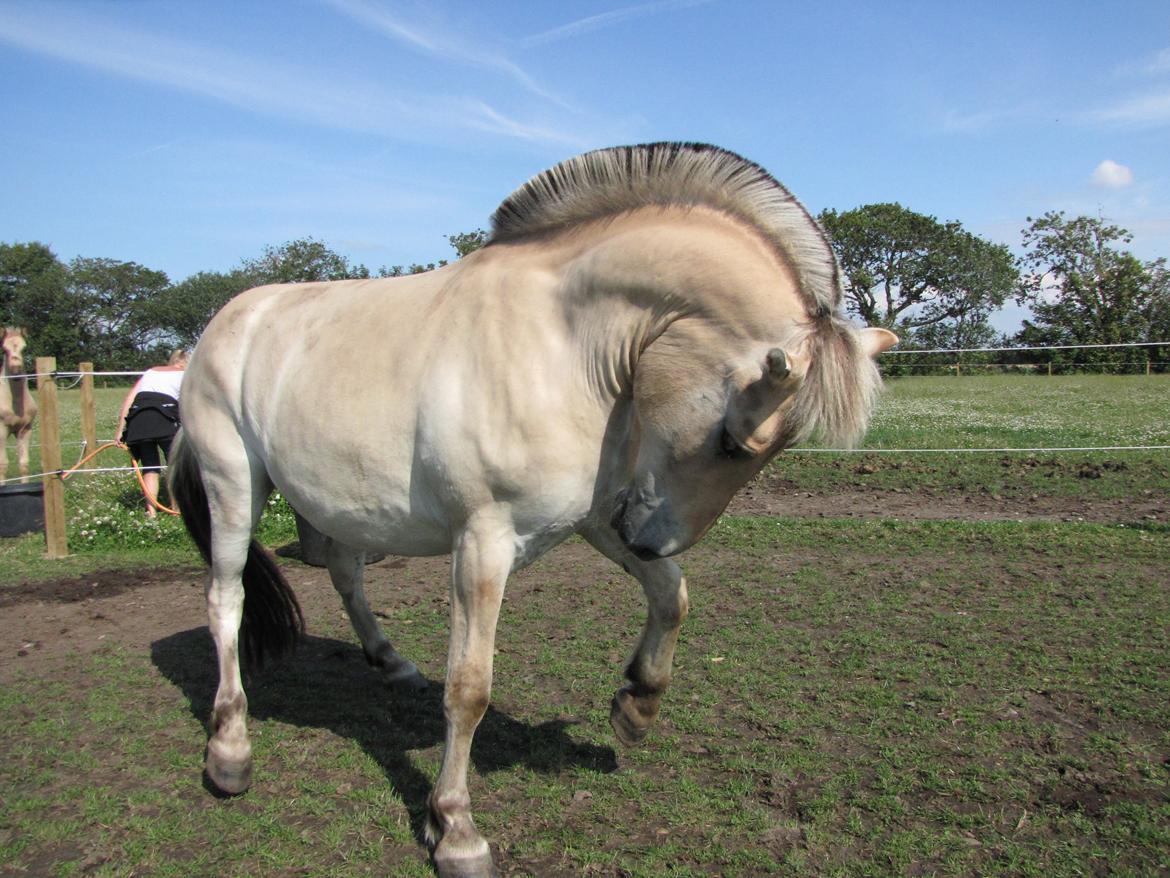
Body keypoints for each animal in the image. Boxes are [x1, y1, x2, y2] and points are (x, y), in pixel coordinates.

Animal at [169, 141, 893, 875]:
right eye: (731, 439)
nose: (651, 538)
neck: (564, 346)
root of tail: (221, 326)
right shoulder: (483, 542)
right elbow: (468, 688)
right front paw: (455, 830)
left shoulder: (599, 516)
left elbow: (672, 596)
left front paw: (637, 705)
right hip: (234, 485)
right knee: (225, 598)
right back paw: (230, 753)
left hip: (337, 502)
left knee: (345, 574)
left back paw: (391, 662)